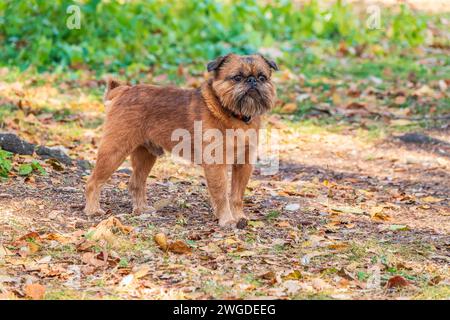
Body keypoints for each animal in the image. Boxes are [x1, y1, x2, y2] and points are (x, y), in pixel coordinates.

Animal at [82, 53, 276, 228]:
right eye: (237, 78)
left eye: (262, 77)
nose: (252, 81)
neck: (235, 115)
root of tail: (124, 90)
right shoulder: (216, 165)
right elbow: (221, 193)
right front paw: (227, 220)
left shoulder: (244, 164)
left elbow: (237, 195)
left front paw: (239, 217)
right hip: (114, 151)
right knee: (93, 182)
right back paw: (93, 210)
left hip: (145, 156)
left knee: (136, 183)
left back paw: (141, 209)